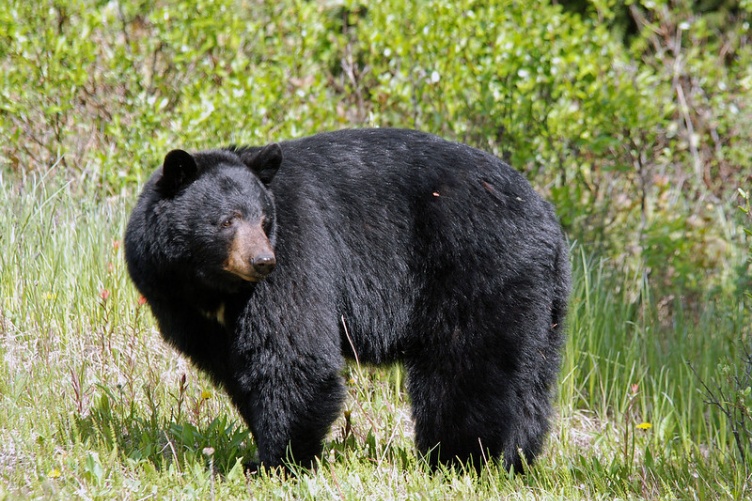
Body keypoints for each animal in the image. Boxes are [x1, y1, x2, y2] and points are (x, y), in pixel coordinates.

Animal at [125, 127, 568, 470]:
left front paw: (275, 461)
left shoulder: (298, 252)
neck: (211, 284)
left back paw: (459, 459)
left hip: (478, 269)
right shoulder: (177, 300)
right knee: (531, 381)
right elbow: (237, 368)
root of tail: (547, 217)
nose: (263, 261)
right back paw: (515, 458)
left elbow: (293, 355)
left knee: (469, 368)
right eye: (228, 220)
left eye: (264, 221)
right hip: (543, 301)